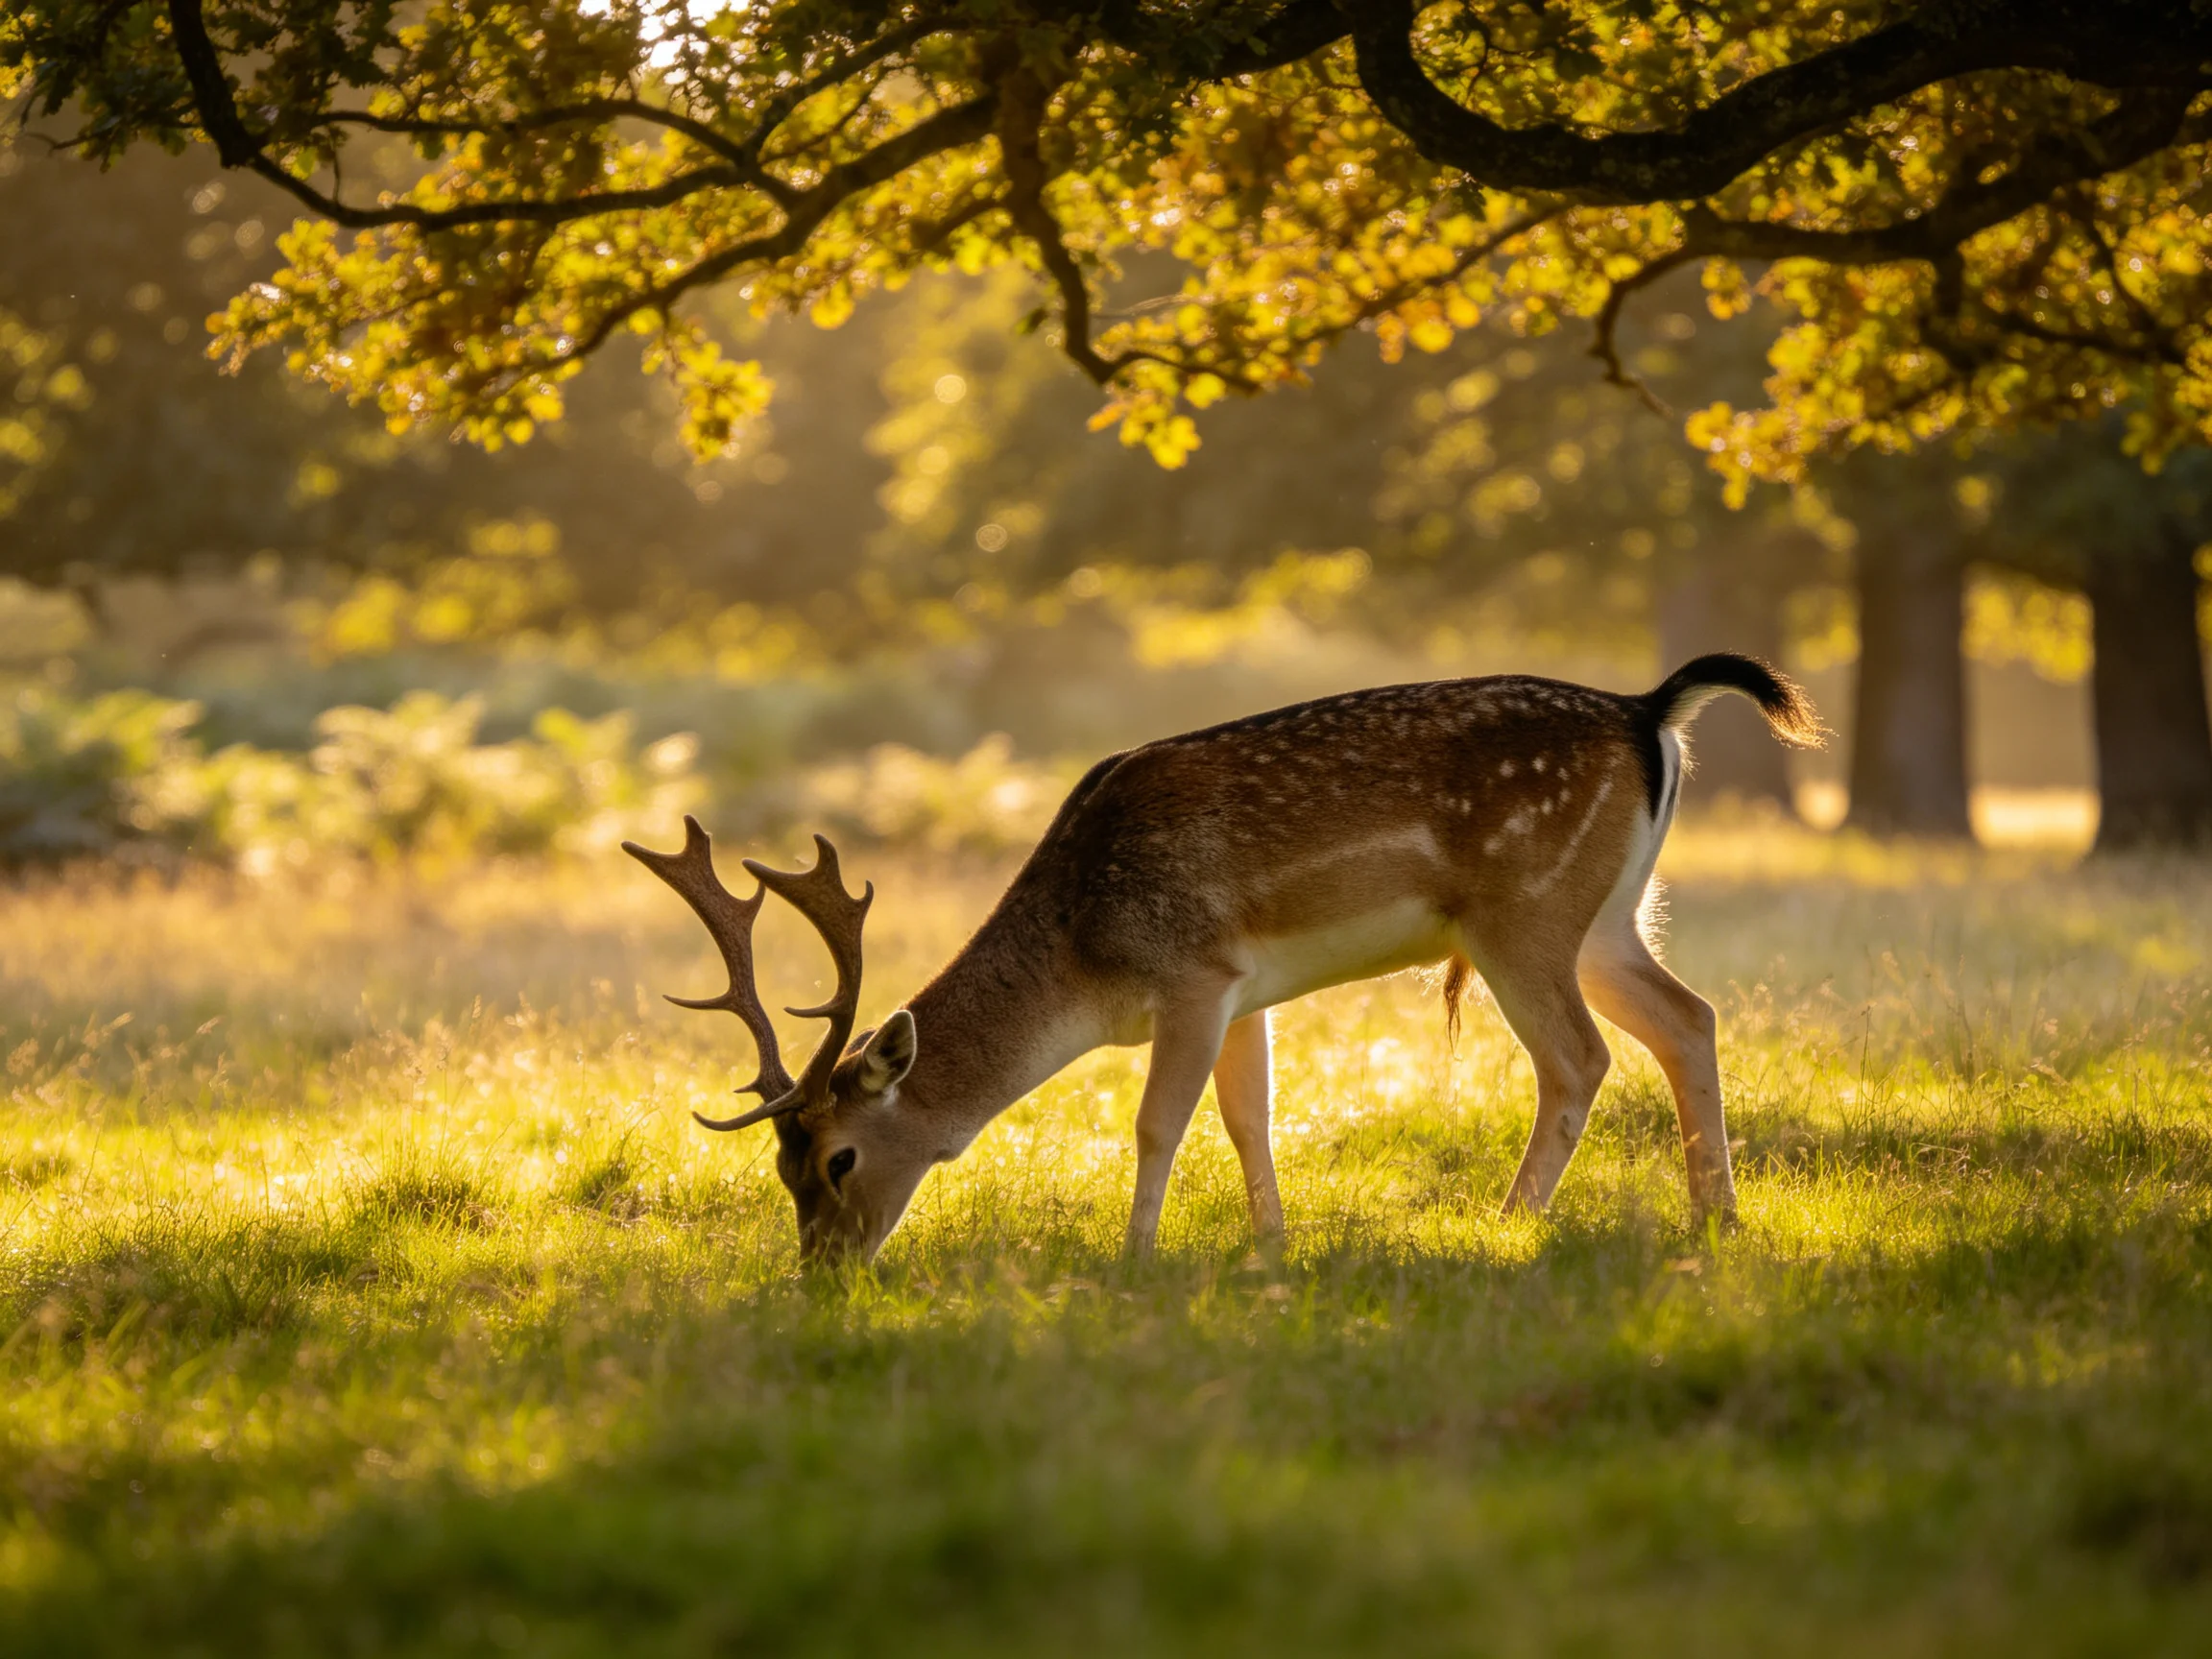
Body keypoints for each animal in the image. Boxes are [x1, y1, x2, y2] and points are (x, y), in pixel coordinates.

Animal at [624, 653, 1820, 1265]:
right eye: (779, 1170)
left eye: (836, 1160)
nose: (821, 1274)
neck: (1086, 955)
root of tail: (1649, 710)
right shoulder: (1251, 989)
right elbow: (1252, 1117)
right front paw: (1270, 1249)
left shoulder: (1193, 972)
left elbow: (1160, 1121)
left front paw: (1135, 1260)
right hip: (1610, 913)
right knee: (1690, 1015)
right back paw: (1717, 1216)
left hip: (1522, 911)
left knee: (1578, 1057)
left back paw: (1509, 1222)